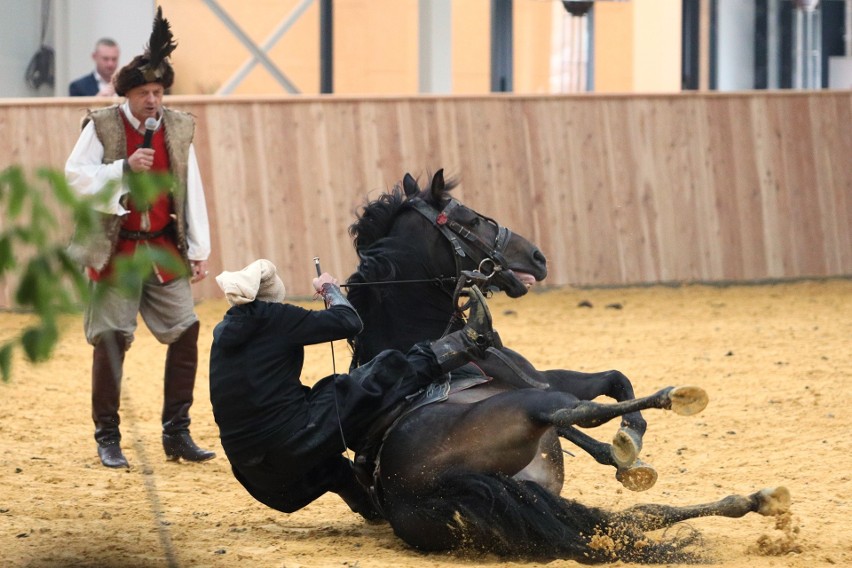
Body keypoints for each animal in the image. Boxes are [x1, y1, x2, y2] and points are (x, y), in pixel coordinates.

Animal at [342, 171, 788, 560]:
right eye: (472, 219)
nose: (537, 257)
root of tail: (427, 487)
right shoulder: (535, 380)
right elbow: (601, 399)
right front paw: (628, 444)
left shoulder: (539, 377)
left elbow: (614, 380)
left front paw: (628, 450)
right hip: (524, 410)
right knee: (573, 413)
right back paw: (675, 401)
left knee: (635, 513)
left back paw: (753, 499)